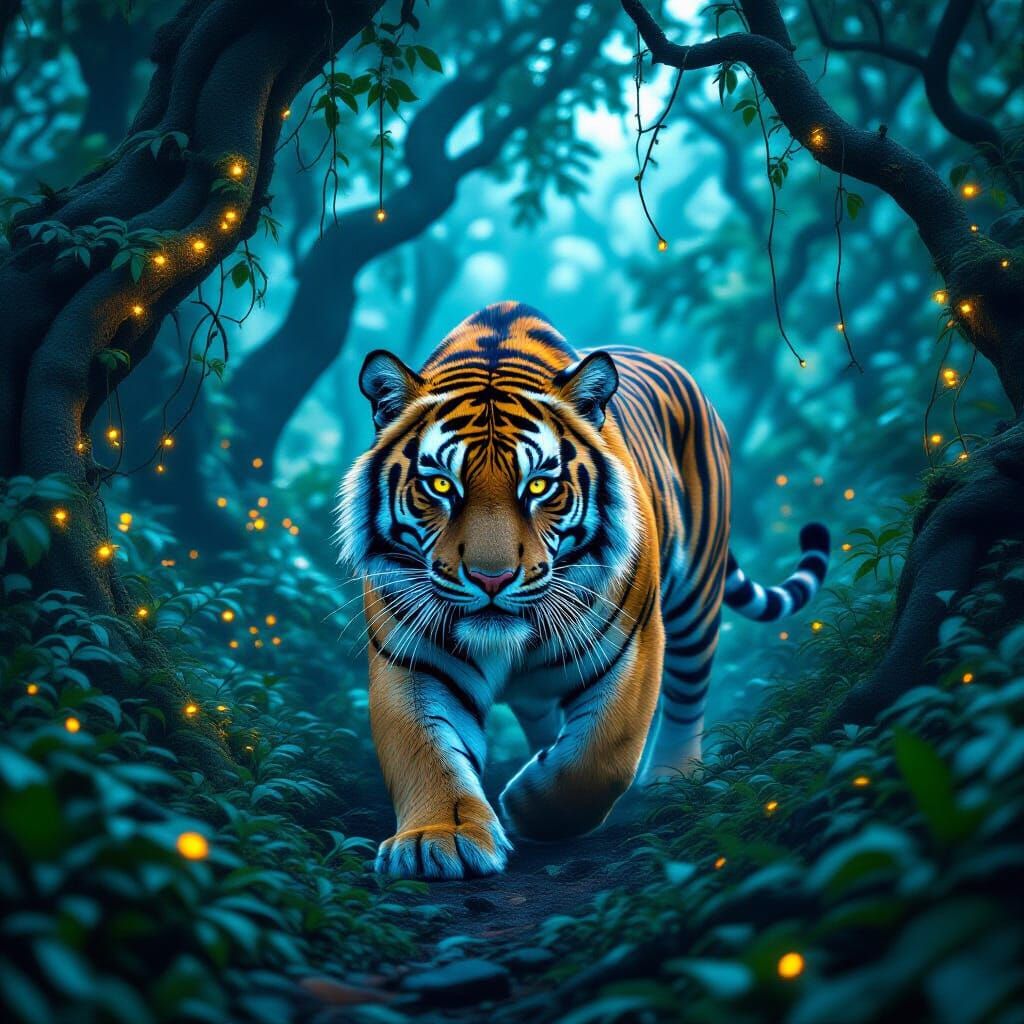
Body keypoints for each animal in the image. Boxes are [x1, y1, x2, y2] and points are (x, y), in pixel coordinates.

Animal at [337, 302, 829, 880]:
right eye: (440, 485)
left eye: (538, 486)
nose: (490, 578)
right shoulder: (412, 656)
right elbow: (425, 749)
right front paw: (440, 838)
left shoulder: (633, 644)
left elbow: (600, 755)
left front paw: (530, 807)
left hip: (697, 594)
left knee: (688, 692)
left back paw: (671, 781)